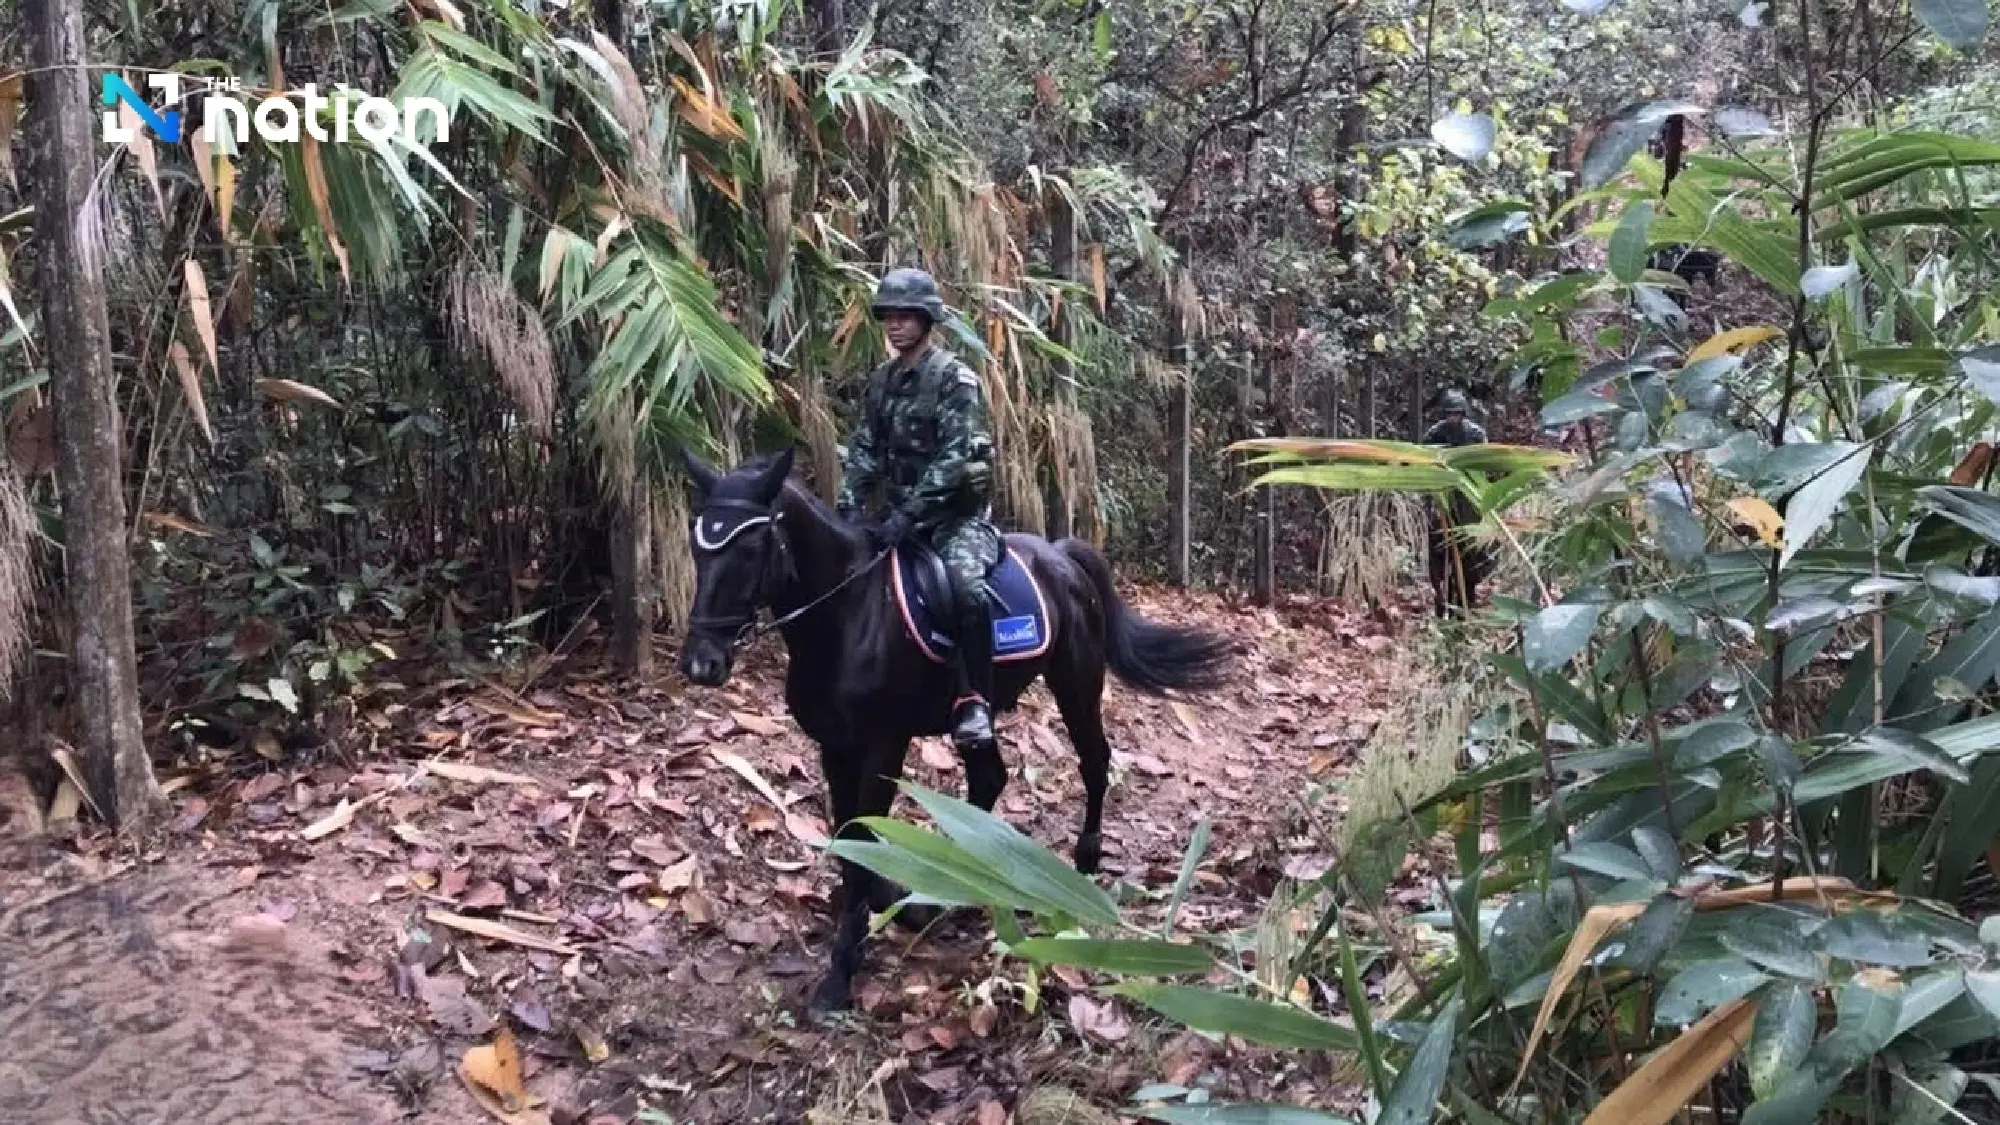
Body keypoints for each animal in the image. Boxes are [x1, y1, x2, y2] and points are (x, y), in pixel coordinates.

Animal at [674, 449, 1233, 1011]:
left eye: (751, 548)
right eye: (696, 545)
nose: (702, 663)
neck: (850, 615)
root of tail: (1061, 555)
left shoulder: (884, 742)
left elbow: (865, 836)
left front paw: (841, 972)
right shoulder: (835, 745)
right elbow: (850, 837)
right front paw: (883, 906)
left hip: (1076, 682)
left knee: (1094, 761)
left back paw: (1082, 865)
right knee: (989, 779)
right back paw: (952, 882)